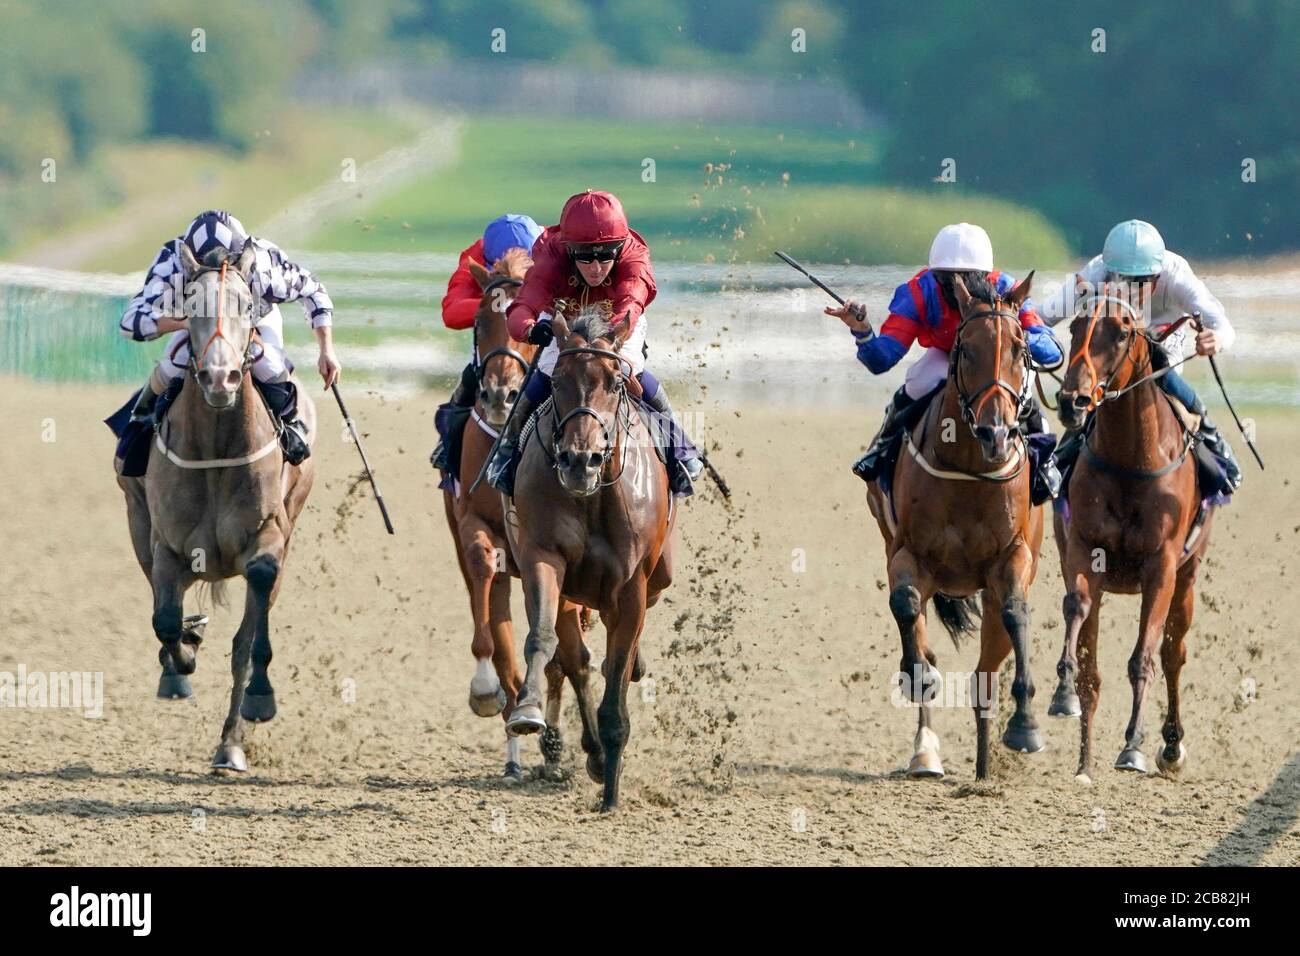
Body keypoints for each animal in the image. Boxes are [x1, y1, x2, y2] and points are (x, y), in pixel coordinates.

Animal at [115, 243, 315, 775]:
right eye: (189, 304)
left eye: (247, 305)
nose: (220, 377)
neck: (216, 450)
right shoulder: (166, 544)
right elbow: (164, 619)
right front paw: (180, 664)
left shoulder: (270, 538)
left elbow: (249, 638)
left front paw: (259, 701)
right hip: (137, 520)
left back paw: (230, 744)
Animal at [441, 248, 585, 785]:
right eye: (481, 322)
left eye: (536, 330)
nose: (499, 396)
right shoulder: (472, 526)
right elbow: (485, 579)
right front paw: (486, 688)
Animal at [501, 304, 676, 806]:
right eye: (558, 381)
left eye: (616, 383)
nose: (581, 461)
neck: (592, 497)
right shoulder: (543, 557)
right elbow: (543, 639)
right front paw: (527, 709)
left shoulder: (632, 586)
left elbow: (616, 676)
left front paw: (611, 797)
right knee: (574, 659)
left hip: (661, 573)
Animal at [868, 273, 1050, 780]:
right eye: (965, 349)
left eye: (1020, 349)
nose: (996, 433)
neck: (969, 470)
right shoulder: (908, 554)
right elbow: (906, 606)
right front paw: (919, 678)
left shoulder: (1012, 558)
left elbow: (1015, 613)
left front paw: (1026, 725)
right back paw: (926, 752)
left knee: (987, 669)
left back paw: (986, 770)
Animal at [1045, 280, 1206, 780]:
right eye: (1075, 326)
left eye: (1120, 332)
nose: (1073, 400)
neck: (1131, 462)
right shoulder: (1084, 550)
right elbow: (1076, 612)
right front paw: (1063, 693)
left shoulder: (1162, 568)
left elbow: (1145, 658)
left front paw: (1134, 745)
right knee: (1093, 671)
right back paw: (1083, 762)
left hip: (1187, 580)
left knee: (1173, 653)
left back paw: (1171, 746)